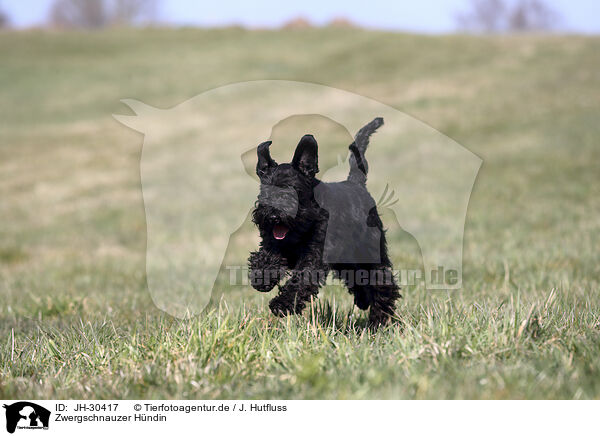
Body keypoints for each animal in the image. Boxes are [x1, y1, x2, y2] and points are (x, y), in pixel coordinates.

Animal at [246, 117, 400, 326]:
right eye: (264, 192)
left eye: (293, 190)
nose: (273, 215)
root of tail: (357, 183)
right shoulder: (274, 243)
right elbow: (265, 256)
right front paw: (261, 279)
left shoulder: (313, 256)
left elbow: (302, 280)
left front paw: (282, 304)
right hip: (345, 259)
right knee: (357, 277)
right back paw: (364, 301)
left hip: (369, 252)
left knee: (382, 281)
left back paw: (379, 320)